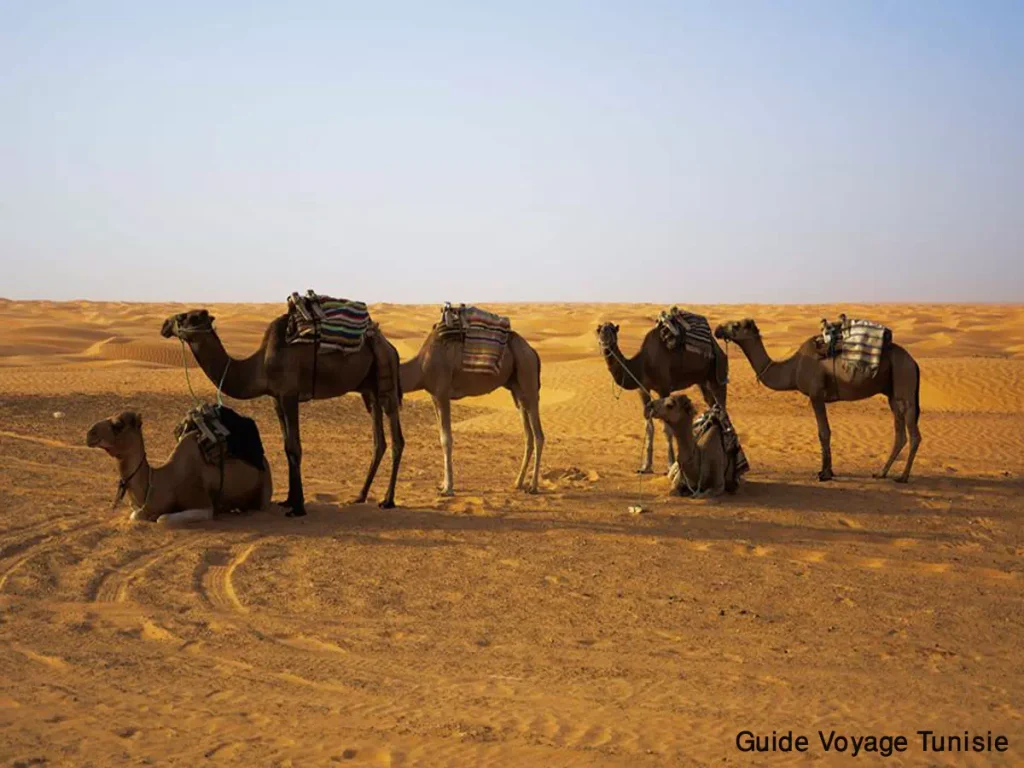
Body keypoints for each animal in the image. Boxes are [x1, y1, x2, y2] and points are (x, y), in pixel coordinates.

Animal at [86, 411, 272, 528]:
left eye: (118, 424)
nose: (89, 433)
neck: (160, 480)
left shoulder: (202, 503)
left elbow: (162, 518)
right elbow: (136, 514)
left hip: (265, 488)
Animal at [160, 309, 403, 520]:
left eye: (186, 317)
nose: (164, 325)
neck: (259, 366)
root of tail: (390, 346)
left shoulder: (289, 394)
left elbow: (295, 447)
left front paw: (298, 508)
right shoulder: (276, 398)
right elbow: (287, 448)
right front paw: (288, 500)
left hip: (387, 378)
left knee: (397, 437)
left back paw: (387, 500)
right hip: (369, 389)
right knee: (379, 440)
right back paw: (360, 496)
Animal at [399, 315, 544, 495]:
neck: (421, 366)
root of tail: (533, 352)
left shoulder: (442, 393)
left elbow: (446, 439)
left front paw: (448, 488)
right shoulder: (433, 396)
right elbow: (441, 437)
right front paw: (443, 484)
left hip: (528, 376)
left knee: (538, 435)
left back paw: (533, 486)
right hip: (517, 390)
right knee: (528, 434)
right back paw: (518, 483)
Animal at [598, 319, 733, 475]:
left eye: (613, 330)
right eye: (598, 330)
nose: (604, 337)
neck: (642, 364)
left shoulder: (664, 388)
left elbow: (667, 429)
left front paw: (670, 464)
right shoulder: (642, 389)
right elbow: (649, 427)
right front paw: (645, 467)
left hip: (716, 375)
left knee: (722, 408)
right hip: (702, 381)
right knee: (713, 406)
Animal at [716, 317, 925, 483]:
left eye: (736, 325)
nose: (718, 328)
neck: (793, 368)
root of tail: (914, 362)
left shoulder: (816, 395)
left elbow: (823, 432)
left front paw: (825, 473)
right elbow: (824, 432)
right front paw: (827, 470)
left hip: (904, 382)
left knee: (914, 434)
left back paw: (903, 477)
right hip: (893, 394)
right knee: (900, 434)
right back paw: (881, 473)